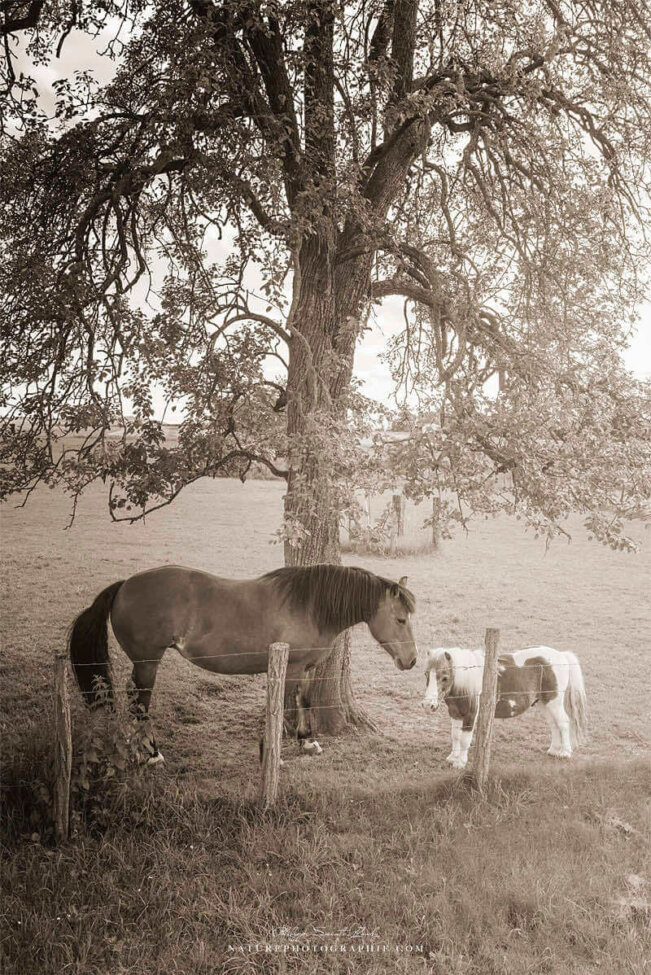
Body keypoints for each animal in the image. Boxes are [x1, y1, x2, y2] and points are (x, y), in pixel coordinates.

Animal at [69, 563, 417, 763]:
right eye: (400, 619)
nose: (411, 660)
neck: (309, 606)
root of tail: (124, 585)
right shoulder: (289, 668)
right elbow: (281, 707)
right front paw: (270, 752)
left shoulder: (306, 669)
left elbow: (304, 701)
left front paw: (307, 742)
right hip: (147, 662)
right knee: (140, 703)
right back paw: (152, 754)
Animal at [421, 646, 587, 769]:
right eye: (426, 674)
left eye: (445, 677)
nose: (428, 705)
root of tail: (561, 655)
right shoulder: (455, 713)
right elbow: (455, 736)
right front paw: (452, 757)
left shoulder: (470, 715)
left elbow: (464, 739)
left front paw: (460, 762)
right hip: (544, 703)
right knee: (554, 725)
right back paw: (553, 750)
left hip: (554, 702)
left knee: (563, 723)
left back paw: (565, 752)